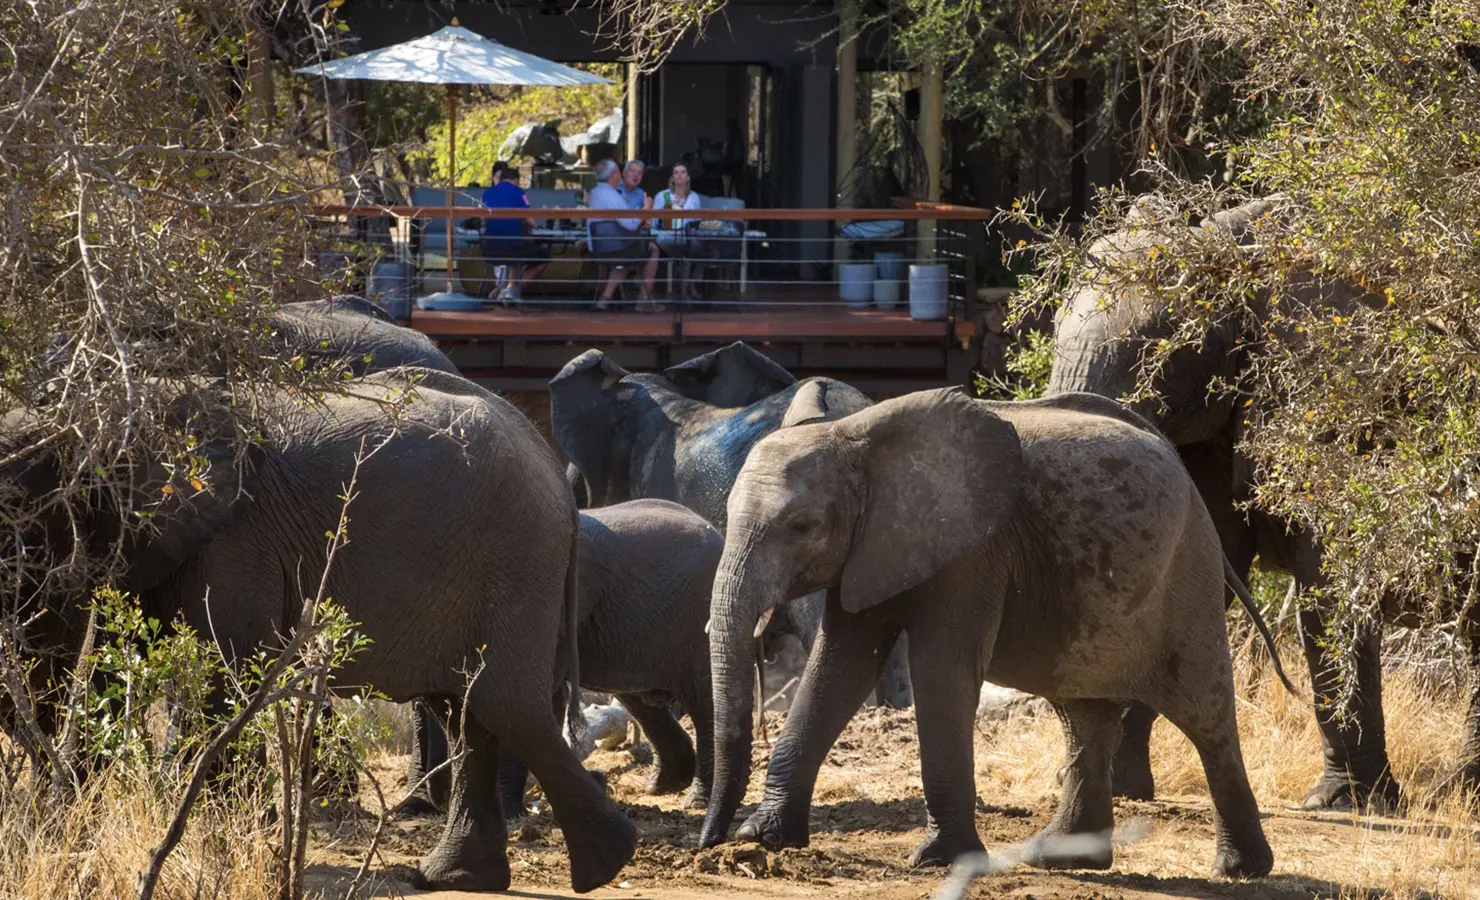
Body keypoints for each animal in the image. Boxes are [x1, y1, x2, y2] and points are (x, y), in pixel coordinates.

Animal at [0, 368, 637, 893]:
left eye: (25, 509)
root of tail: (556, 472)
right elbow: (102, 664)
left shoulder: (234, 542)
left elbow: (224, 674)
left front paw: (214, 845)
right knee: (467, 712)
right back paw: (454, 877)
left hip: (516, 558)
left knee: (503, 705)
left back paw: (606, 864)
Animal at [404, 498, 723, 818]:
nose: (438, 804)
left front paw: (509, 813)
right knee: (641, 702)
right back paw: (660, 786)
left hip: (699, 620)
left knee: (704, 701)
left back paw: (697, 800)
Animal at [699, 387, 1290, 879]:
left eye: (801, 527)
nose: (709, 843)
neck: (856, 438)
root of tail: (1181, 466)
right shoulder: (870, 551)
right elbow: (839, 667)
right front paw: (764, 837)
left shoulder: (973, 553)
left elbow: (939, 670)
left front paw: (938, 860)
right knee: (1084, 715)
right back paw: (1064, 860)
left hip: (1188, 569)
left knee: (1204, 713)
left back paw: (1239, 870)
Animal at [1047, 195, 1412, 811]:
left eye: (1169, 356)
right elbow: (1200, 572)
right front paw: (1118, 790)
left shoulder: (1336, 395)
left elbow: (1329, 582)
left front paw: (1346, 805)